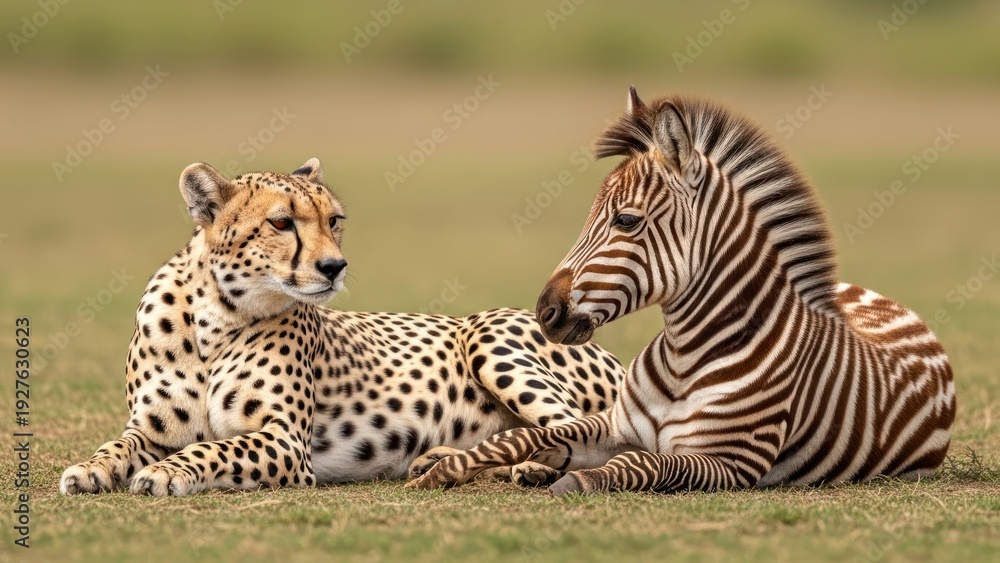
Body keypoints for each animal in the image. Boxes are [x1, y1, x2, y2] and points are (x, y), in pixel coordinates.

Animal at [59, 158, 625, 496]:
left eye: (334, 220)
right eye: (281, 222)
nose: (334, 266)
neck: (213, 317)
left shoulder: (286, 442)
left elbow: (214, 447)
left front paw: (168, 471)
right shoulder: (149, 428)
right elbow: (117, 446)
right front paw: (89, 468)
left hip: (487, 335)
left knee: (586, 431)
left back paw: (532, 466)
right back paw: (440, 460)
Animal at [407, 88, 956, 495]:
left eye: (626, 221)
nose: (545, 311)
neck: (684, 359)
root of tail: (900, 309)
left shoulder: (728, 462)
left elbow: (646, 466)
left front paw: (575, 481)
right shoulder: (616, 424)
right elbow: (530, 433)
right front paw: (447, 469)